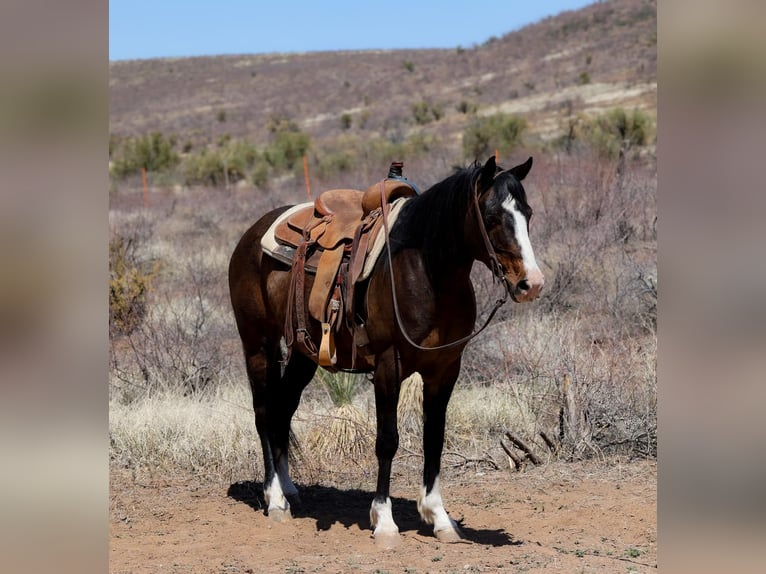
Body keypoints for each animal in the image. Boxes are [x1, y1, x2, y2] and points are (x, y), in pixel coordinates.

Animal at [228, 155, 544, 546]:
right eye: (492, 217)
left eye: (527, 213)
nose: (532, 284)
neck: (427, 272)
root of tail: (250, 235)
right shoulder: (387, 366)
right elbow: (387, 440)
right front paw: (384, 521)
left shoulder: (444, 370)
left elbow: (434, 438)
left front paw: (439, 517)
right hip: (258, 344)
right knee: (263, 413)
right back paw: (274, 498)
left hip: (304, 353)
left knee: (282, 409)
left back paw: (288, 490)